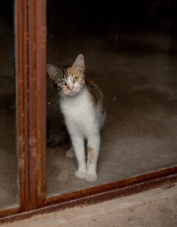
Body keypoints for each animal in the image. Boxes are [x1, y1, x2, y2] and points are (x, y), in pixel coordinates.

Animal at [46, 54, 106, 182]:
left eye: (75, 79)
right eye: (62, 82)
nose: (70, 88)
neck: (75, 104)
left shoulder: (93, 133)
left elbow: (92, 154)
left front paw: (90, 174)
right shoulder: (74, 132)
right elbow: (80, 153)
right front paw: (82, 171)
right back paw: (71, 150)